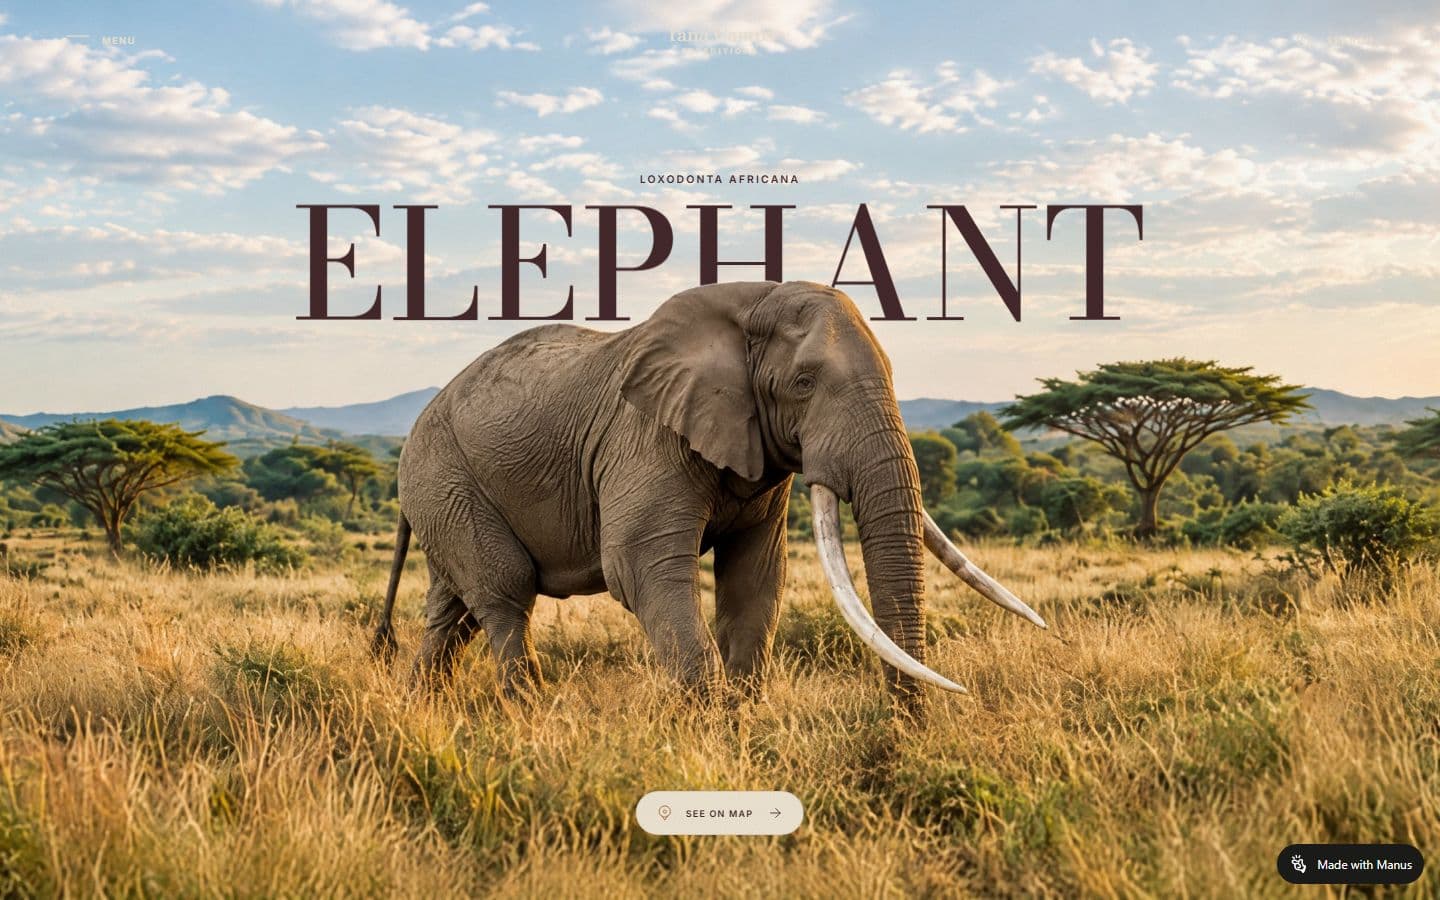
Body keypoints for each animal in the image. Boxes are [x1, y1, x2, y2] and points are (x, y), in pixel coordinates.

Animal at [371, 280, 1045, 716]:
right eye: (804, 383)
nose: (907, 732)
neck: (751, 302)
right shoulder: (645, 434)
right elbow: (640, 568)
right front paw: (709, 732)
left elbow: (755, 577)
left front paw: (740, 727)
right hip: (445, 476)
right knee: (504, 594)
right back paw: (527, 717)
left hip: (444, 490)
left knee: (453, 611)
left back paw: (420, 709)